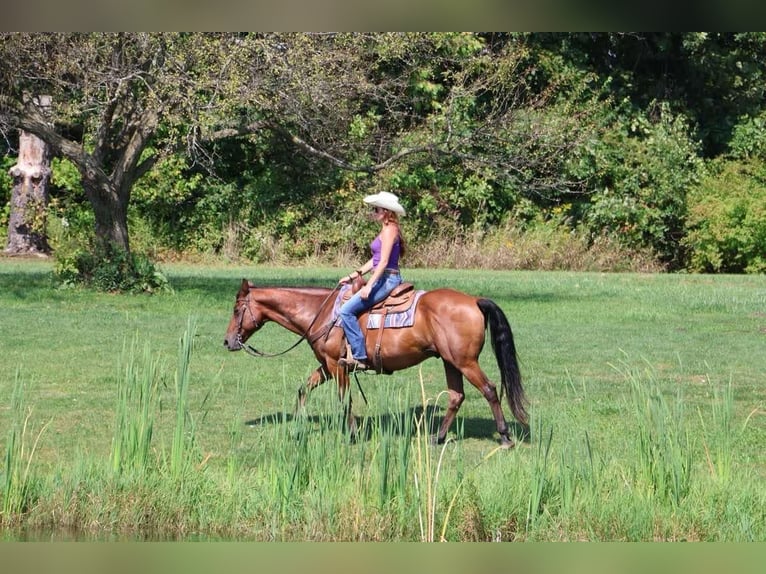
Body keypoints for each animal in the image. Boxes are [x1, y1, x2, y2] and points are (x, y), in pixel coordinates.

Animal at [223, 278, 529, 447]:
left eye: (237, 309)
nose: (227, 341)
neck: (321, 312)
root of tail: (474, 300)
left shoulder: (338, 366)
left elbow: (344, 401)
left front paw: (351, 435)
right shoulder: (328, 366)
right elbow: (303, 389)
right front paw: (297, 427)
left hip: (465, 361)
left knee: (489, 389)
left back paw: (504, 436)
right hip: (450, 361)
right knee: (456, 396)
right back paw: (438, 438)